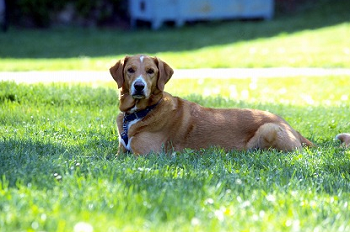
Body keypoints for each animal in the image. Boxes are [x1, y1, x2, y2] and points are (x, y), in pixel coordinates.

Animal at [110, 54, 346, 155]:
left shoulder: (144, 155)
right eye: (130, 70)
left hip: (268, 130)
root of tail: (292, 127)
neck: (138, 113)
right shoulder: (122, 151)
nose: (139, 86)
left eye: (150, 71)